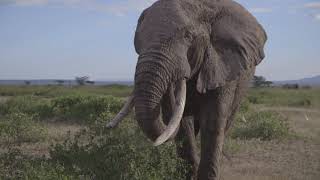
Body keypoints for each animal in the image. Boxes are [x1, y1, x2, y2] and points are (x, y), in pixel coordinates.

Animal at [107, 0, 268, 179]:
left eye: (188, 37)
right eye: (137, 42)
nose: (108, 127)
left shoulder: (223, 67)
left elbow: (213, 120)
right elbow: (182, 123)